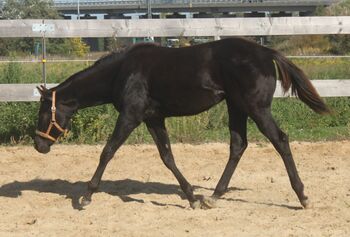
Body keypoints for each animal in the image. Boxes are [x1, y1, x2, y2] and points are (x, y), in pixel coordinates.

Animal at [34, 38, 330, 209]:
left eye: (43, 113)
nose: (39, 145)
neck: (123, 71)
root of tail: (267, 52)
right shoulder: (153, 118)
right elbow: (167, 157)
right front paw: (191, 196)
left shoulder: (131, 115)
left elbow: (107, 151)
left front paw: (86, 196)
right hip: (236, 107)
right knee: (238, 145)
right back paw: (213, 196)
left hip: (256, 108)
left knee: (280, 140)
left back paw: (302, 196)